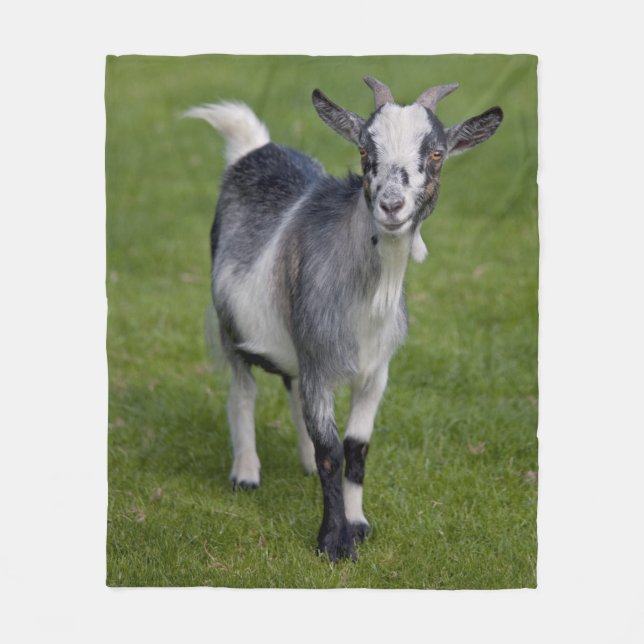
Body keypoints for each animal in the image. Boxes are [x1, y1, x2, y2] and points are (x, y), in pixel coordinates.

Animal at [185, 76, 503, 561]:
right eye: (364, 150)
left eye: (435, 153)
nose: (391, 205)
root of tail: (255, 148)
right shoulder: (319, 361)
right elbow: (331, 451)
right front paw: (333, 543)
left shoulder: (375, 372)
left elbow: (355, 450)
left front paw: (358, 524)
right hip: (230, 325)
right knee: (243, 390)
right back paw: (246, 472)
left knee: (292, 392)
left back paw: (301, 463)